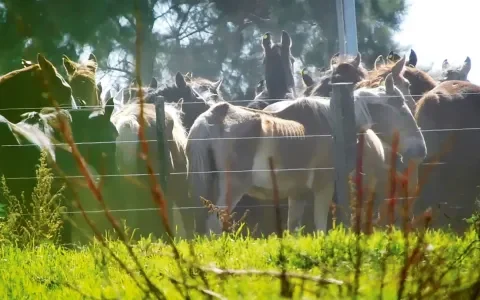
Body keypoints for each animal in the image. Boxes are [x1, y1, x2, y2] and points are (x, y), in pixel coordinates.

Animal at [186, 69, 426, 236]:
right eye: (400, 106)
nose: (421, 150)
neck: (333, 125)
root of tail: (210, 119)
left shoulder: (297, 194)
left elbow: (293, 229)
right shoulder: (323, 187)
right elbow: (320, 226)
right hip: (231, 189)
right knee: (214, 225)